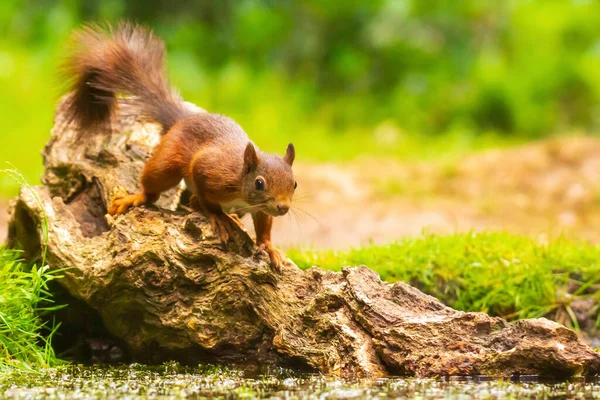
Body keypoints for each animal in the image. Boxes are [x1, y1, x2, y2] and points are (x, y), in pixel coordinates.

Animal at [62, 24, 296, 268]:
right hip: (167, 164)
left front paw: (268, 246)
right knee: (160, 189)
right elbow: (207, 199)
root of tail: (181, 120)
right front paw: (218, 217)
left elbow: (264, 225)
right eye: (259, 183)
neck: (241, 182)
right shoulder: (210, 173)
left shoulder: (261, 208)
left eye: (295, 184)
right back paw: (138, 198)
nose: (283, 207)